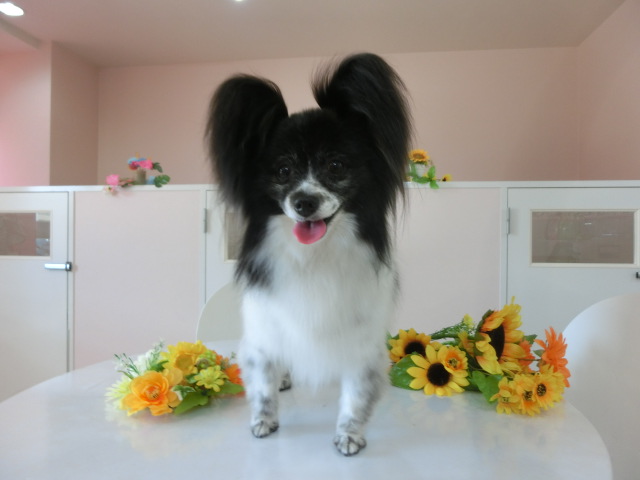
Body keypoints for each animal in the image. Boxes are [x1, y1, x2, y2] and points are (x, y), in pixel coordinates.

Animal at [206, 53, 411, 456]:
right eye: (283, 170)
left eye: (336, 166)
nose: (304, 202)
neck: (314, 257)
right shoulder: (266, 324)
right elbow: (263, 382)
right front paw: (264, 421)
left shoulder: (362, 338)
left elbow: (356, 393)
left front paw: (349, 435)